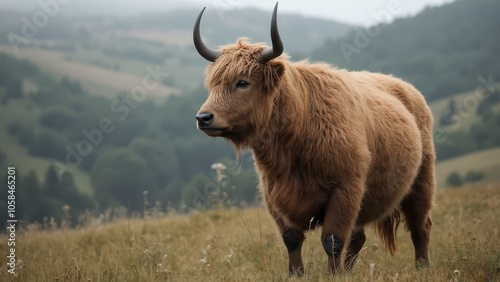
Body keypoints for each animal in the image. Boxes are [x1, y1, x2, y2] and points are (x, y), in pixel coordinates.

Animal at [193, 2, 436, 276]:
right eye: (214, 84)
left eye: (242, 83)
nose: (203, 117)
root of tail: (405, 87)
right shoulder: (274, 197)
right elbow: (291, 240)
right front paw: (296, 274)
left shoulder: (345, 190)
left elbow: (332, 240)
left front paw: (334, 275)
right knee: (360, 236)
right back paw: (349, 270)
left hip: (422, 181)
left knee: (420, 226)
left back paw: (422, 266)